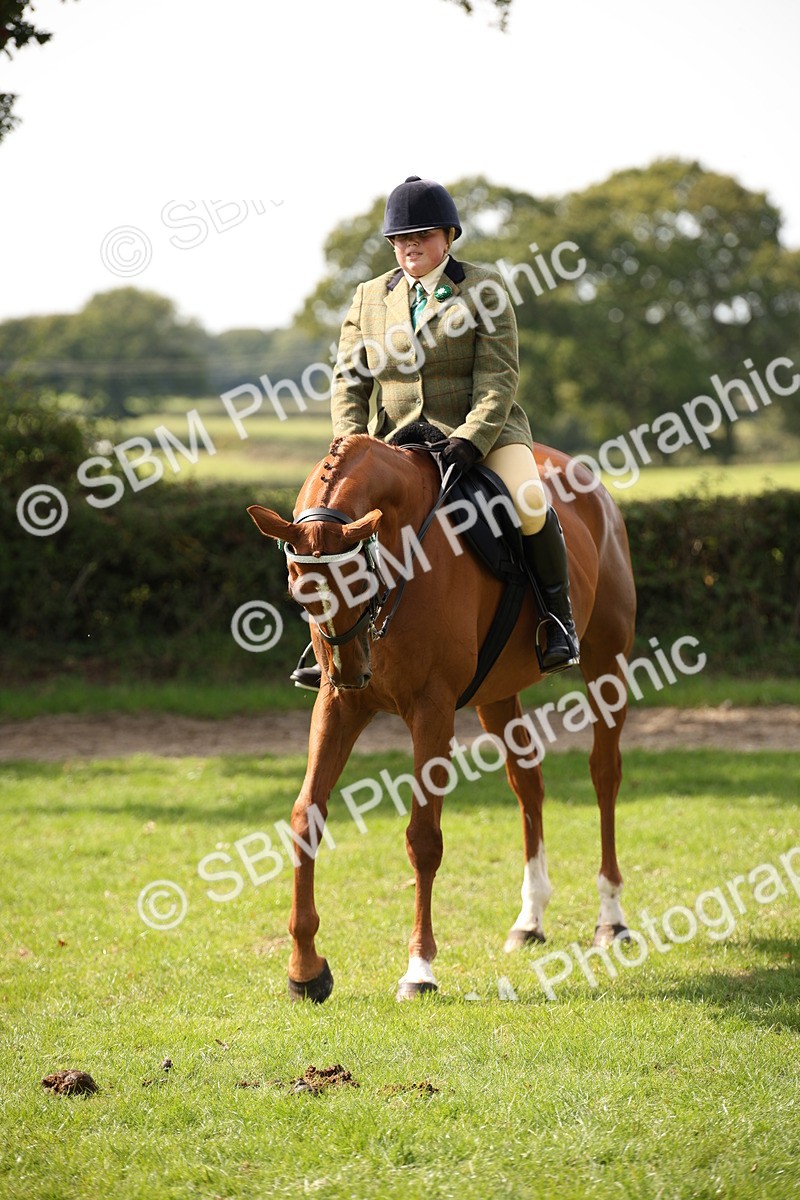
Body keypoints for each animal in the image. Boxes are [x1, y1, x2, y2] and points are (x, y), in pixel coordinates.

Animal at [248, 433, 637, 1002]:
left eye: (359, 581)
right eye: (299, 590)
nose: (351, 671)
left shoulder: (432, 711)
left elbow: (423, 837)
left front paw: (419, 969)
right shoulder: (339, 707)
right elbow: (306, 817)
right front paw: (305, 970)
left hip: (607, 664)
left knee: (605, 775)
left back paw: (611, 917)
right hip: (497, 695)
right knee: (528, 782)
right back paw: (530, 919)